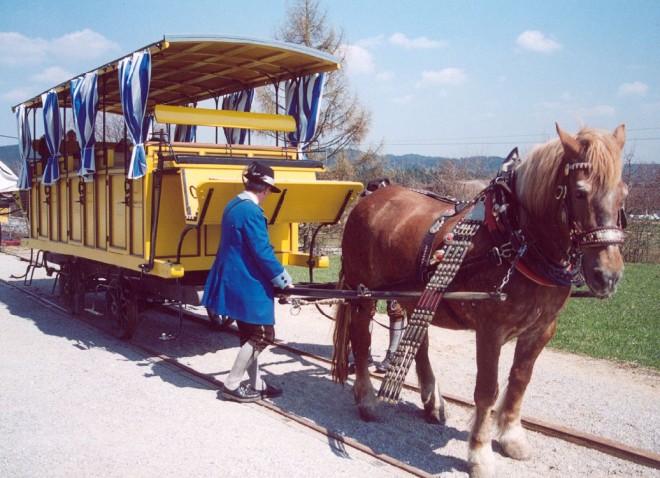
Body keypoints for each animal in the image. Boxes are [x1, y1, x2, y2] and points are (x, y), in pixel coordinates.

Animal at [332, 124, 628, 478]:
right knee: (361, 339)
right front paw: (480, 453)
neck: (515, 238)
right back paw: (367, 401)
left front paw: (512, 437)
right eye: (580, 192)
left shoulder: (542, 330)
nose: (608, 275)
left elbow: (520, 381)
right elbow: (487, 390)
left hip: (412, 292)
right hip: (363, 293)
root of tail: (372, 195)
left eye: (624, 193)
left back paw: (432, 402)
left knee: (420, 342)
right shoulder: (491, 330)